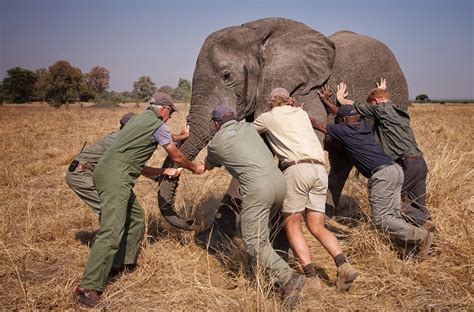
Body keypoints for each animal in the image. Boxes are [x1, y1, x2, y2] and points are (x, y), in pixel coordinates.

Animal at [157, 18, 410, 249]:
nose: (190, 222)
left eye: (227, 76)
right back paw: (328, 220)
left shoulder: (306, 92)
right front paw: (211, 242)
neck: (256, 33)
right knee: (341, 162)